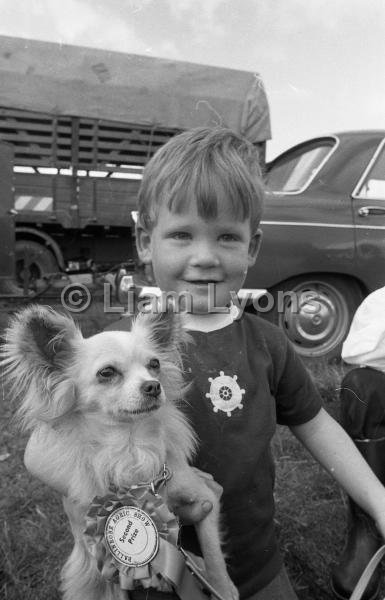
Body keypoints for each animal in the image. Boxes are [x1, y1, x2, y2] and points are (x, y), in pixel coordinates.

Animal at [2, 308, 237, 600]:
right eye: (107, 372)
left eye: (155, 364)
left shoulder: (206, 499)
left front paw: (222, 586)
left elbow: (213, 553)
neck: (131, 445)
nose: (153, 385)